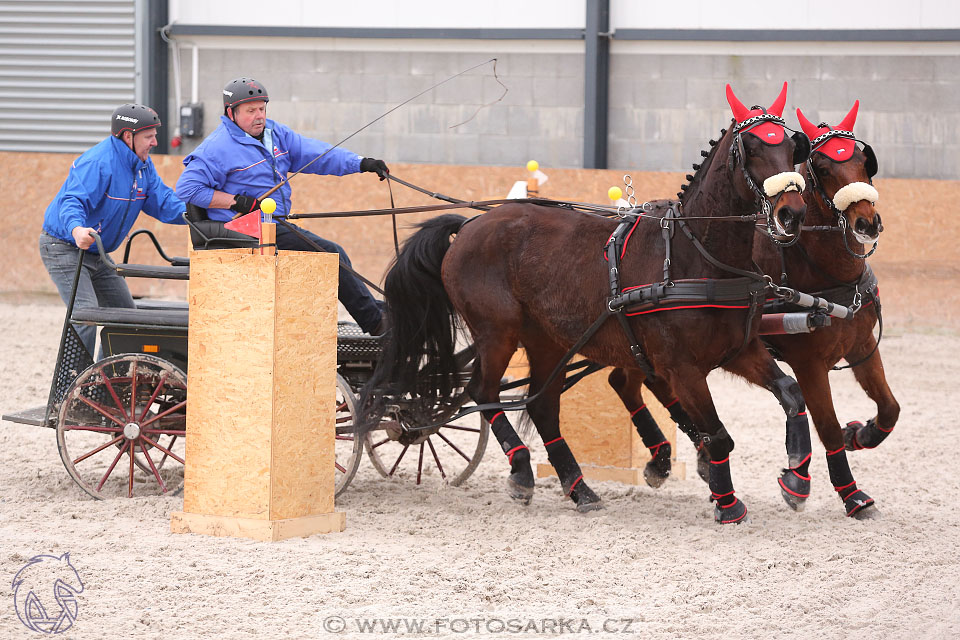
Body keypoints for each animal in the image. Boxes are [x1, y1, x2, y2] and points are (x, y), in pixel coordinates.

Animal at [368, 84, 808, 524]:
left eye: (791, 147)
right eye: (751, 148)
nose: (792, 213)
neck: (697, 255)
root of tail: (470, 224)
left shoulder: (739, 350)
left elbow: (790, 392)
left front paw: (796, 480)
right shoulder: (682, 368)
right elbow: (718, 437)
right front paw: (728, 505)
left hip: (548, 341)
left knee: (543, 406)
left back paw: (579, 488)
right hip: (497, 332)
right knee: (483, 390)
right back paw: (522, 470)